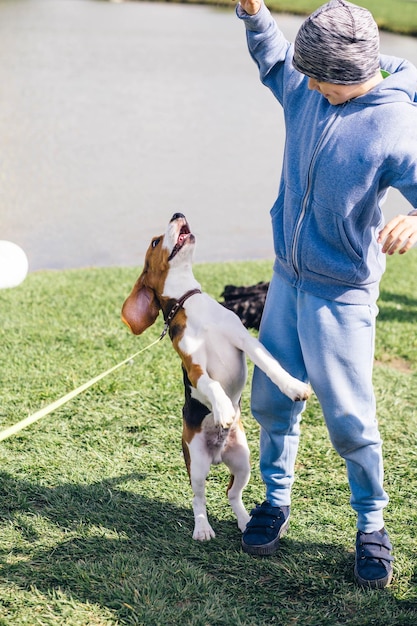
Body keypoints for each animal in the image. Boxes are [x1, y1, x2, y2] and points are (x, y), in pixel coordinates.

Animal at [120, 212, 308, 540]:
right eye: (155, 242)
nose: (177, 213)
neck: (189, 301)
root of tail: (218, 455)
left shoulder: (246, 340)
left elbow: (270, 365)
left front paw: (292, 385)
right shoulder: (194, 367)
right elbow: (211, 383)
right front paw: (222, 410)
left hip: (243, 461)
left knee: (232, 493)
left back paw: (246, 521)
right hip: (196, 464)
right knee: (199, 498)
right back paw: (203, 527)